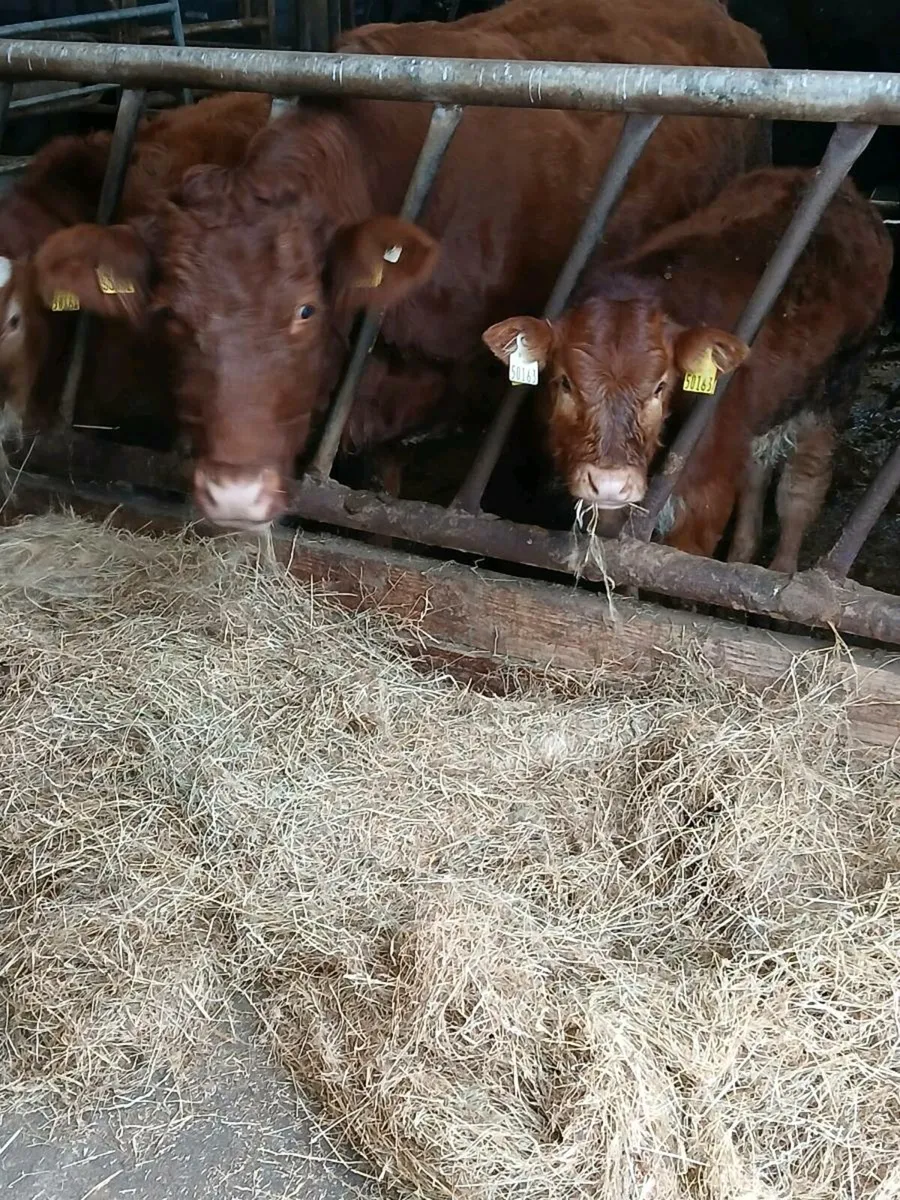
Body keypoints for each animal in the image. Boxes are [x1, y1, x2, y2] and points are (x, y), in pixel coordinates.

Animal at [482, 167, 893, 572]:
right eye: (564, 382)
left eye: (661, 386)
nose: (611, 483)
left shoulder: (702, 501)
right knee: (756, 472)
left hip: (834, 387)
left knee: (801, 488)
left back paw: (780, 571)